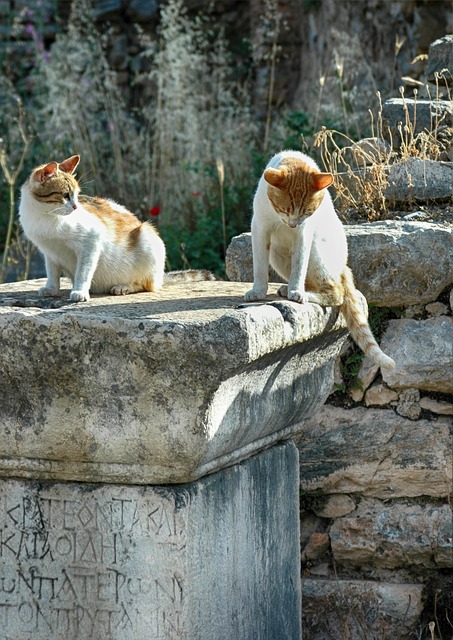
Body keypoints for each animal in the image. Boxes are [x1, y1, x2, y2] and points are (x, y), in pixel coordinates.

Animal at [19, 156, 214, 304]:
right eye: (65, 195)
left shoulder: (91, 241)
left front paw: (79, 291)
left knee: (147, 285)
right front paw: (51, 289)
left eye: (76, 195)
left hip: (147, 236)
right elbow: (52, 273)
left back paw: (123, 286)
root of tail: (161, 277)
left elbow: (83, 271)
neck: (44, 216)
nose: (75, 207)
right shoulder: (49, 253)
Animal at [244, 150, 396, 370]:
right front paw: (258, 291)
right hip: (276, 253)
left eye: (307, 212)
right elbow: (259, 268)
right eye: (284, 209)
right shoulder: (260, 229)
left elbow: (299, 266)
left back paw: (305, 294)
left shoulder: (304, 233)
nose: (293, 224)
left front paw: (296, 292)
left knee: (336, 293)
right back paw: (288, 289)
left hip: (317, 251)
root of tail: (343, 267)